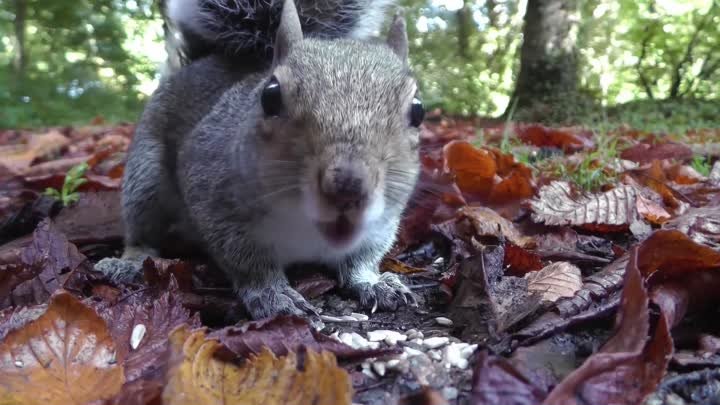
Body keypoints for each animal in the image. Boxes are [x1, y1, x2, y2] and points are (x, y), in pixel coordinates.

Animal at [95, 0, 422, 318]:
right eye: (270, 96)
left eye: (418, 111)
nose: (348, 185)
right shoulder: (212, 199)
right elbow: (247, 261)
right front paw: (272, 293)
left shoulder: (382, 224)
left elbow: (362, 258)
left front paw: (374, 282)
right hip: (145, 180)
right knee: (142, 232)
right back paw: (127, 262)